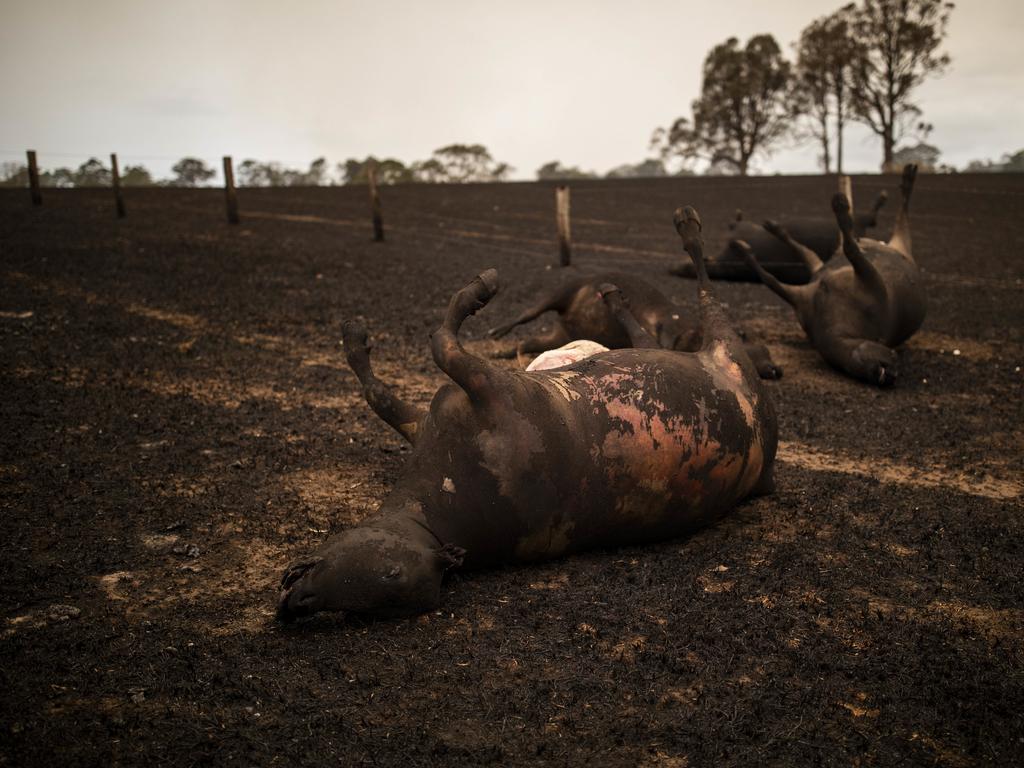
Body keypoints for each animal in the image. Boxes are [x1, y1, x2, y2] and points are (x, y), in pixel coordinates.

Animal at [276, 207, 778, 622]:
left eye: (388, 575)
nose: (298, 602)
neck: (436, 518)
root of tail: (767, 466)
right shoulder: (426, 422)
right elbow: (378, 392)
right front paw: (355, 341)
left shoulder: (479, 387)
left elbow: (439, 341)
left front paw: (477, 292)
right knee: (642, 333)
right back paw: (617, 294)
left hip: (726, 345)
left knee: (704, 286)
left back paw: (685, 229)